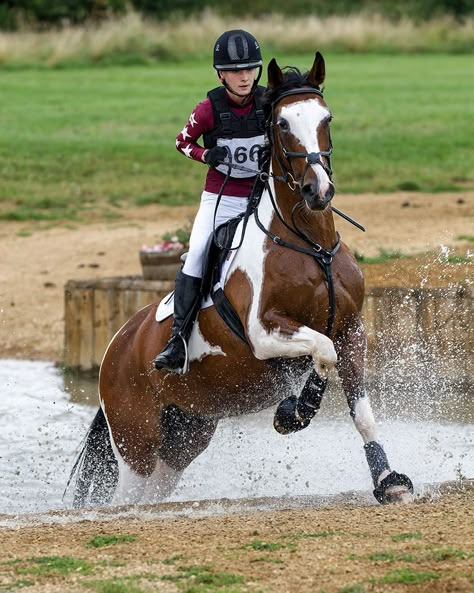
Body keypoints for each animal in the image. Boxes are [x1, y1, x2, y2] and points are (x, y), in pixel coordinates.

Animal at [71, 53, 414, 508]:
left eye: (327, 118)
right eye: (282, 124)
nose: (318, 191)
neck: (312, 245)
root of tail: (116, 345)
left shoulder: (351, 330)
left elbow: (361, 411)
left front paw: (389, 480)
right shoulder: (264, 334)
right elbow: (321, 351)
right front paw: (294, 412)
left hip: (185, 434)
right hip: (136, 441)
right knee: (126, 496)